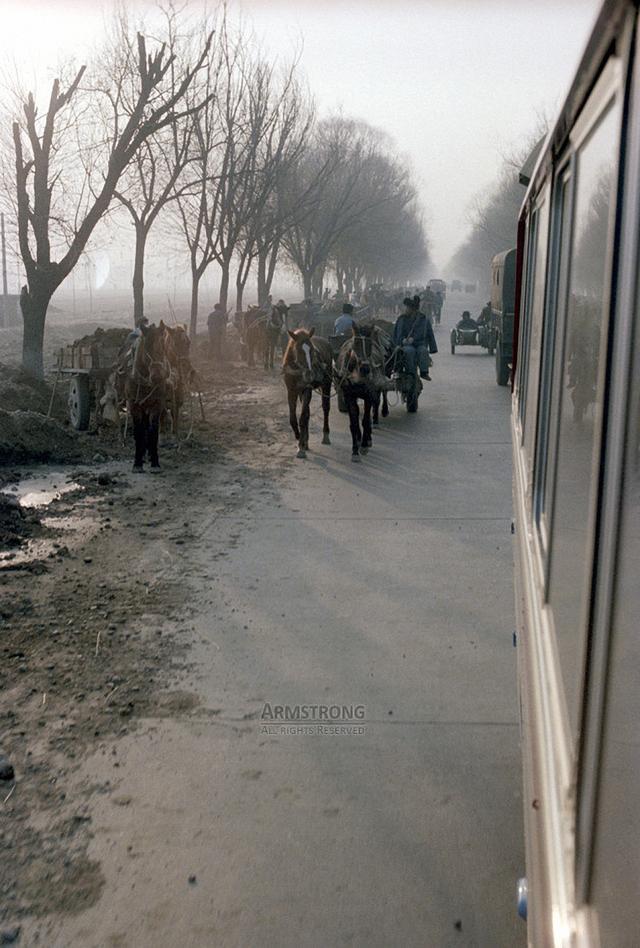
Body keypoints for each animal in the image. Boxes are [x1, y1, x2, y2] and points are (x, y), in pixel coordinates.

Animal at [284, 326, 336, 460]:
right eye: (298, 350)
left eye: (312, 350)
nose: (309, 373)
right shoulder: (291, 391)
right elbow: (293, 418)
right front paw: (300, 439)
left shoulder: (306, 389)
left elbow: (302, 417)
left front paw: (301, 446)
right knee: (307, 412)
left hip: (326, 384)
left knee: (326, 407)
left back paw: (325, 435)